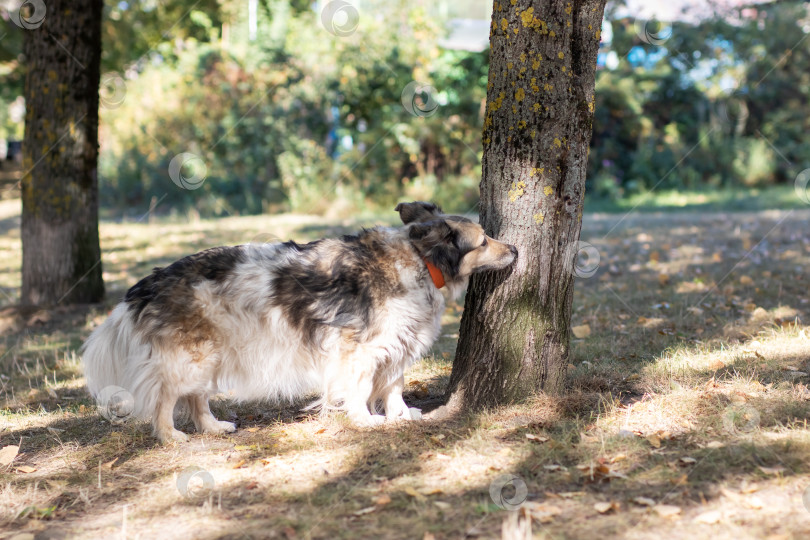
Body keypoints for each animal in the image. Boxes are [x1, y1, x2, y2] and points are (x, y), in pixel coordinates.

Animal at [82, 202, 516, 442]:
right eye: (483, 241)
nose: (513, 248)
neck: (421, 261)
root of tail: (149, 282)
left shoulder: (395, 343)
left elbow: (394, 385)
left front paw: (400, 414)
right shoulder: (359, 350)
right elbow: (361, 389)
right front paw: (365, 420)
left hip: (208, 356)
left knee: (195, 397)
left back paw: (212, 428)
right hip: (190, 357)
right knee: (166, 398)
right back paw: (171, 436)